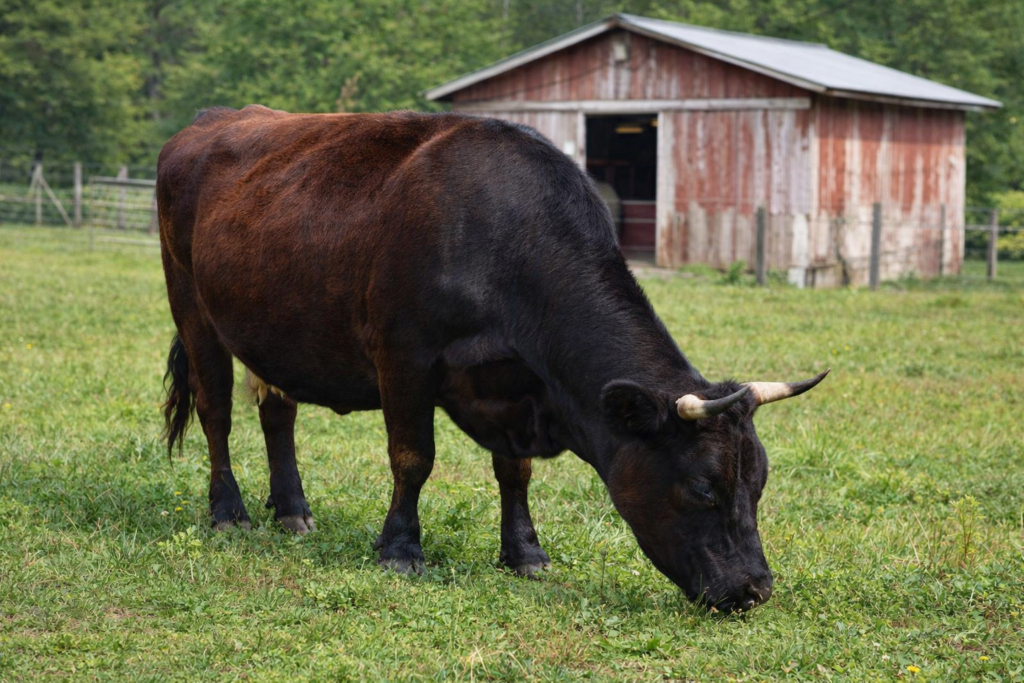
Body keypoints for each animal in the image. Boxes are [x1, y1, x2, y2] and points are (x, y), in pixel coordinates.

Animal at [157, 105, 827, 613]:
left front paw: (524, 553)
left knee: (279, 413)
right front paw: (400, 549)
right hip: (193, 308)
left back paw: (293, 511)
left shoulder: (516, 388)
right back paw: (229, 512)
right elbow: (413, 458)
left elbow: (515, 472)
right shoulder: (403, 356)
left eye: (759, 485)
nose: (754, 589)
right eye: (703, 489)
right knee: (216, 414)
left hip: (269, 330)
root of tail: (216, 118)